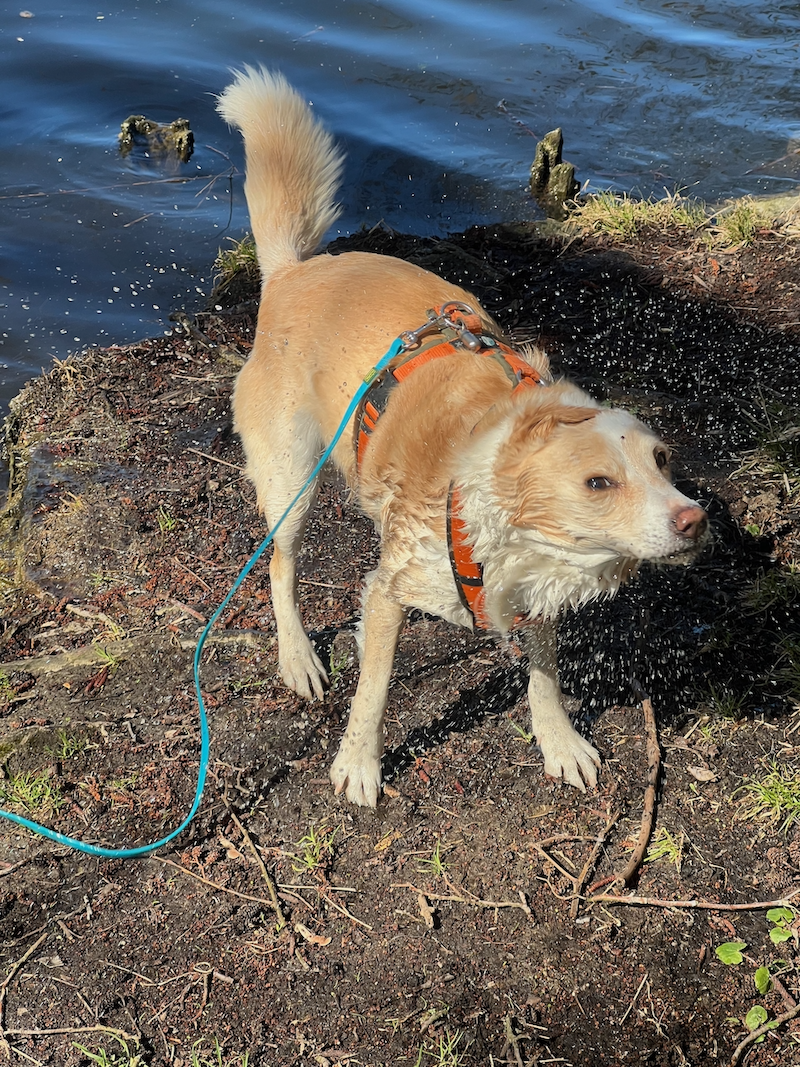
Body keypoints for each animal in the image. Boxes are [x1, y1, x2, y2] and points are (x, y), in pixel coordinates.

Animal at [217, 67, 709, 807]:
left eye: (663, 462)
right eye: (599, 482)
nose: (695, 519)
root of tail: (293, 272)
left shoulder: (534, 601)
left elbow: (544, 677)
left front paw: (558, 741)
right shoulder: (389, 593)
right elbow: (374, 691)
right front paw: (358, 763)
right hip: (290, 482)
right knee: (280, 564)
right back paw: (298, 655)